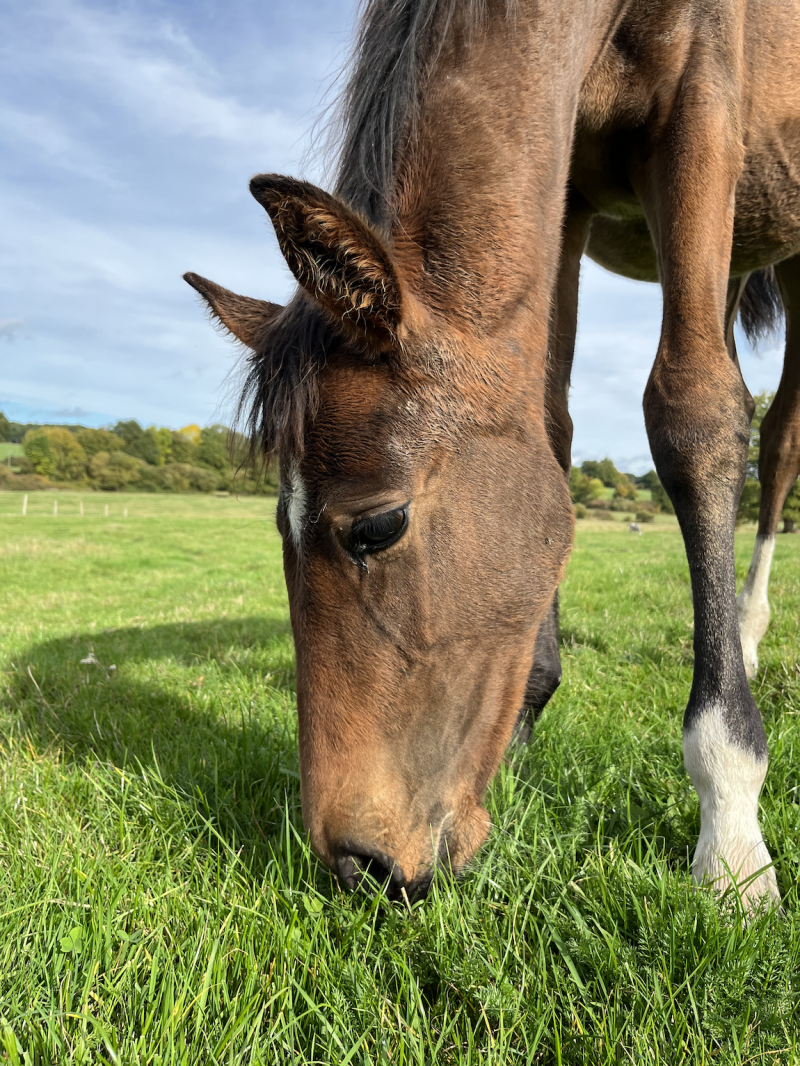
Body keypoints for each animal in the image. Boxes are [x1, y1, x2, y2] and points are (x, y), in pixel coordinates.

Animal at [184, 0, 797, 912]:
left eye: (379, 527)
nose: (357, 867)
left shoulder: (698, 114)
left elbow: (694, 413)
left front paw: (730, 828)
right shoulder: (568, 188)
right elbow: (550, 421)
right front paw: (521, 734)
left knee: (779, 434)